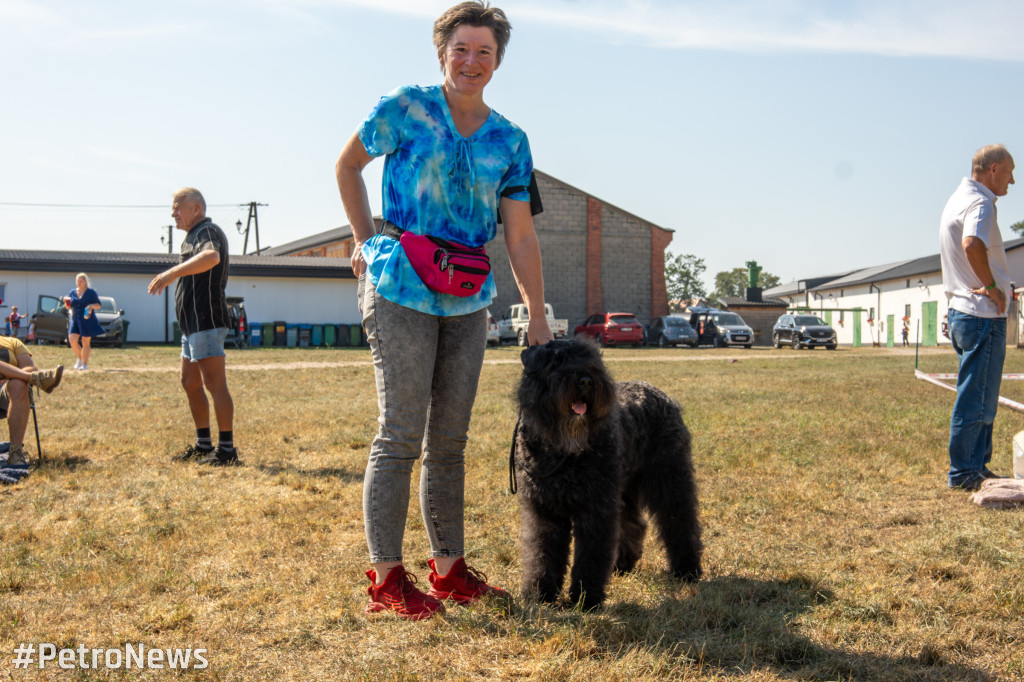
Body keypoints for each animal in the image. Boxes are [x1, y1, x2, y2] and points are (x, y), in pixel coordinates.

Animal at [512, 337, 704, 606]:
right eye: (557, 361)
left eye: (593, 360)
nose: (585, 380)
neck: (563, 450)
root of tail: (663, 396)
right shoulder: (544, 510)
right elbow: (541, 551)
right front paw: (540, 594)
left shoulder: (596, 508)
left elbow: (591, 554)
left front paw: (585, 599)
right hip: (626, 487)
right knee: (634, 522)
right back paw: (623, 564)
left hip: (669, 478)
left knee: (680, 521)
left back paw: (687, 570)